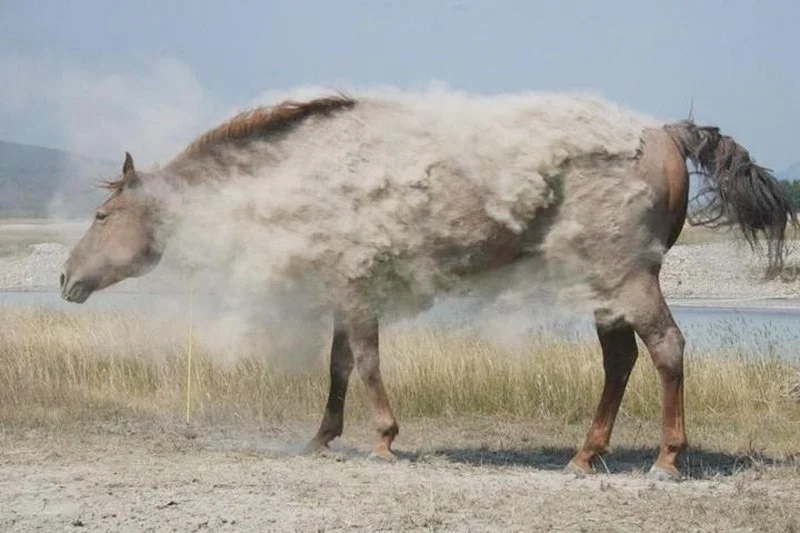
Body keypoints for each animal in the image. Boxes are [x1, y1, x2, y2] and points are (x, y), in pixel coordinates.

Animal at [60, 91, 794, 480]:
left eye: (102, 216)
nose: (65, 275)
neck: (295, 170)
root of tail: (665, 131)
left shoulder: (356, 290)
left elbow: (365, 362)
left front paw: (383, 438)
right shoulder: (347, 287)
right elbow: (339, 365)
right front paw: (323, 436)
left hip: (627, 278)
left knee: (666, 349)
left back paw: (667, 459)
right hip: (606, 287)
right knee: (619, 361)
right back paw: (586, 455)